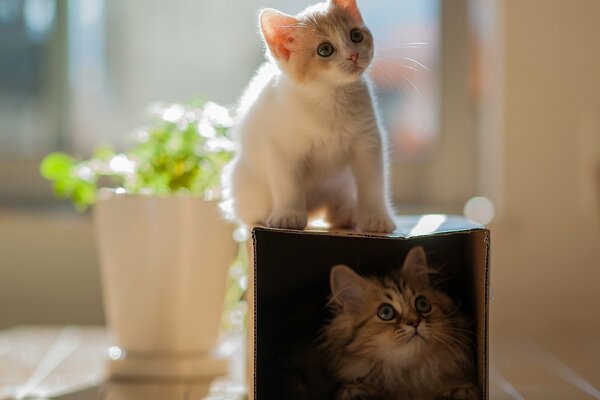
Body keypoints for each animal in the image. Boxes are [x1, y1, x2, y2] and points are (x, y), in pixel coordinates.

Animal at [223, 0, 396, 231]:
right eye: (325, 50)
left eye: (356, 35)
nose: (353, 55)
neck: (331, 98)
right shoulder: (282, 146)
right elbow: (287, 183)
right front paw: (288, 215)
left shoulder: (368, 141)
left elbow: (373, 183)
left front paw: (377, 218)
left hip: (342, 184)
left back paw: (349, 213)